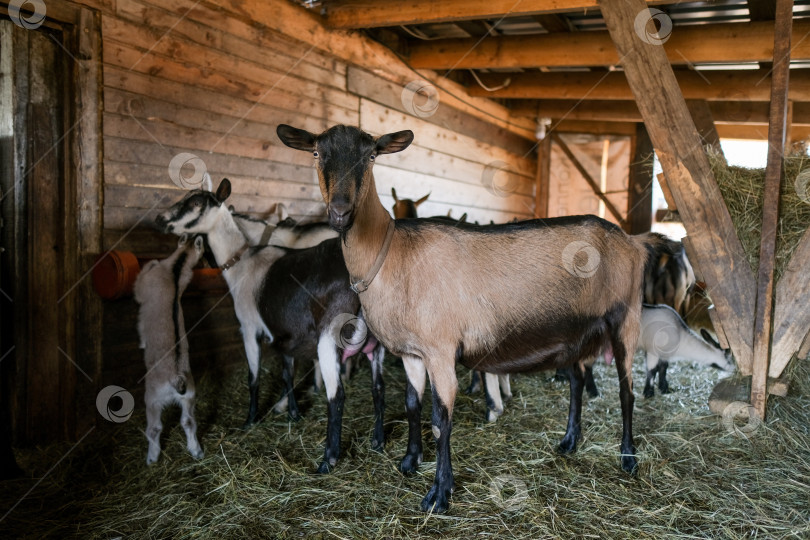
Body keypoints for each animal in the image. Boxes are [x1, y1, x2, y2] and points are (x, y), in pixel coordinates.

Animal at [133, 234, 204, 462]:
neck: (175, 268)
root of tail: (177, 378)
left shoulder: (144, 284)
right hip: (189, 395)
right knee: (189, 421)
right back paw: (196, 451)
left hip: (153, 398)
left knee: (155, 427)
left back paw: (151, 458)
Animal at [159, 178, 386, 472]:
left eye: (196, 202)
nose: (160, 219)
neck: (241, 262)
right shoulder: (285, 335)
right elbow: (287, 373)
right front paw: (293, 413)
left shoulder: (249, 327)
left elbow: (253, 377)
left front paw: (250, 420)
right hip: (377, 344)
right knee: (378, 389)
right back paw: (378, 442)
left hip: (328, 338)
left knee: (336, 397)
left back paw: (327, 460)